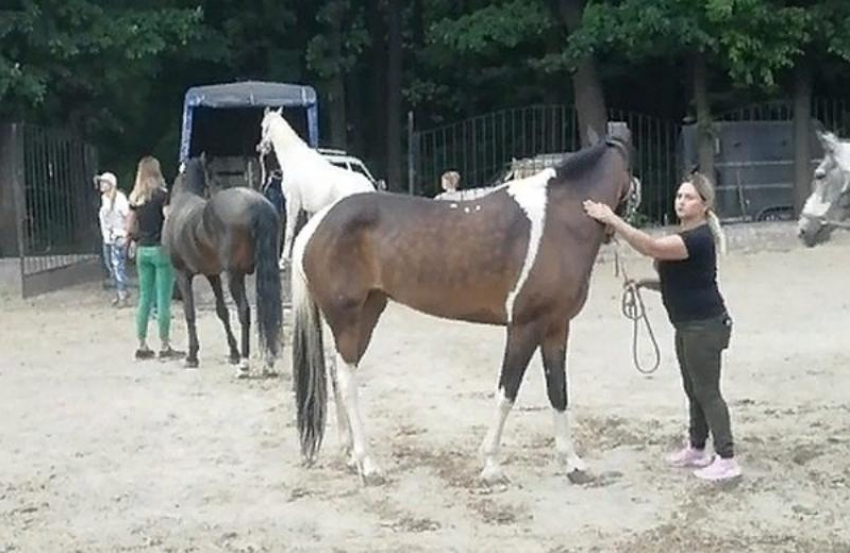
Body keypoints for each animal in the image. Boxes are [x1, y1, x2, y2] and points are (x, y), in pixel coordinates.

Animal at [164, 157, 284, 378]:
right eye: (215, 178)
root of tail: (258, 205)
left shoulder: (182, 273)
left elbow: (189, 311)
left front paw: (192, 356)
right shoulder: (212, 275)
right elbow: (222, 311)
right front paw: (233, 353)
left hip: (234, 275)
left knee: (244, 311)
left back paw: (244, 365)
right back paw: (268, 363)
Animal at [255, 108, 374, 266]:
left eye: (263, 125)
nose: (260, 147)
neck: (294, 159)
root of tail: (369, 186)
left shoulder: (293, 202)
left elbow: (289, 231)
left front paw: (283, 260)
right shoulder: (309, 208)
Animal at [290, 135, 628, 484]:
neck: (556, 221)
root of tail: (314, 226)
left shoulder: (556, 327)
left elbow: (558, 391)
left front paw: (572, 463)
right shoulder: (525, 326)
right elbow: (507, 392)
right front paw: (491, 464)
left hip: (368, 313)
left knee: (336, 372)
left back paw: (350, 455)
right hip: (346, 319)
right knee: (346, 380)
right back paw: (368, 464)